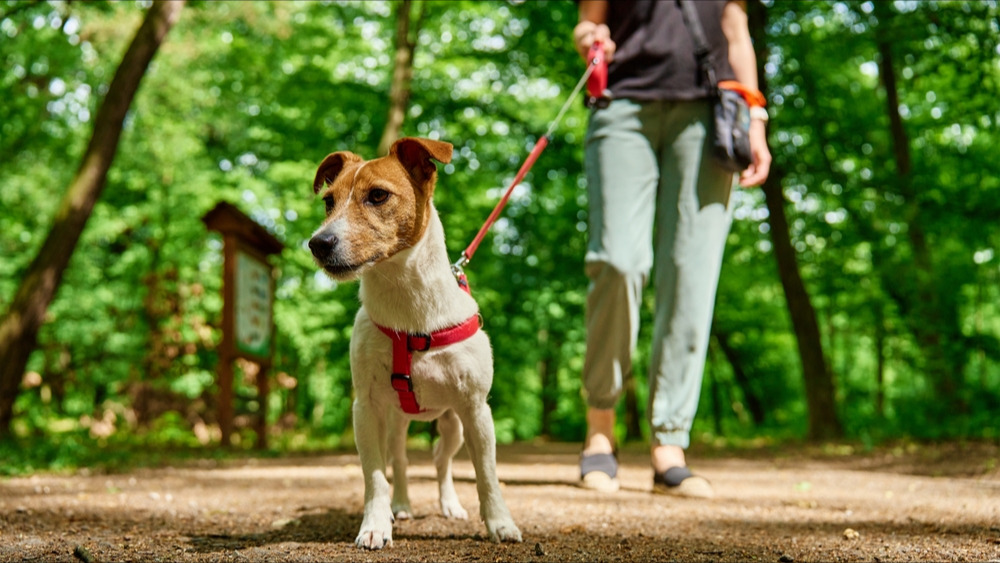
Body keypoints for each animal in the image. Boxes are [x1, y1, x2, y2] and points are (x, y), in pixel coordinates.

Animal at [306, 137, 524, 552]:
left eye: (377, 195)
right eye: (328, 200)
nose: (318, 243)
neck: (409, 311)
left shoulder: (477, 410)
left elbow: (487, 475)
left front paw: (500, 523)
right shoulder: (365, 409)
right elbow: (375, 476)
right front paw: (376, 525)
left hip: (454, 424)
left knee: (442, 460)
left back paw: (449, 504)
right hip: (395, 422)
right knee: (401, 461)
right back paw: (402, 505)